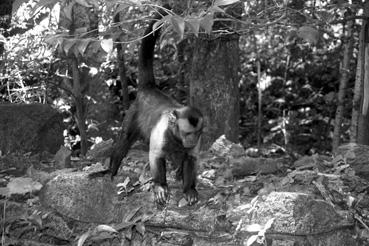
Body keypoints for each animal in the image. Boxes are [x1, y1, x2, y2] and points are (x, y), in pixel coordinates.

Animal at [90, 6, 203, 206]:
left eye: (197, 134)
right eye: (188, 133)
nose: (192, 140)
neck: (176, 136)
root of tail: (149, 88)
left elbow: (191, 157)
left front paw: (189, 189)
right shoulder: (162, 132)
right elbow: (155, 156)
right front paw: (160, 186)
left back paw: (179, 174)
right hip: (133, 113)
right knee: (124, 140)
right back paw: (111, 170)